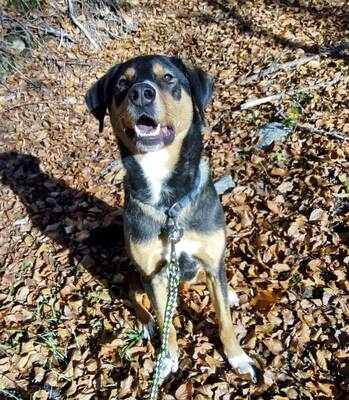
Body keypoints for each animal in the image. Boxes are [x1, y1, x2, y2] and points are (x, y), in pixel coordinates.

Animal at [85, 54, 256, 382]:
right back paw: (146, 321)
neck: (169, 203)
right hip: (136, 276)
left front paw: (237, 356)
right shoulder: (153, 274)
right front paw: (167, 358)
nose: (141, 93)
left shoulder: (211, 259)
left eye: (168, 78)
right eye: (122, 83)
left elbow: (225, 320)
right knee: (133, 295)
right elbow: (168, 325)